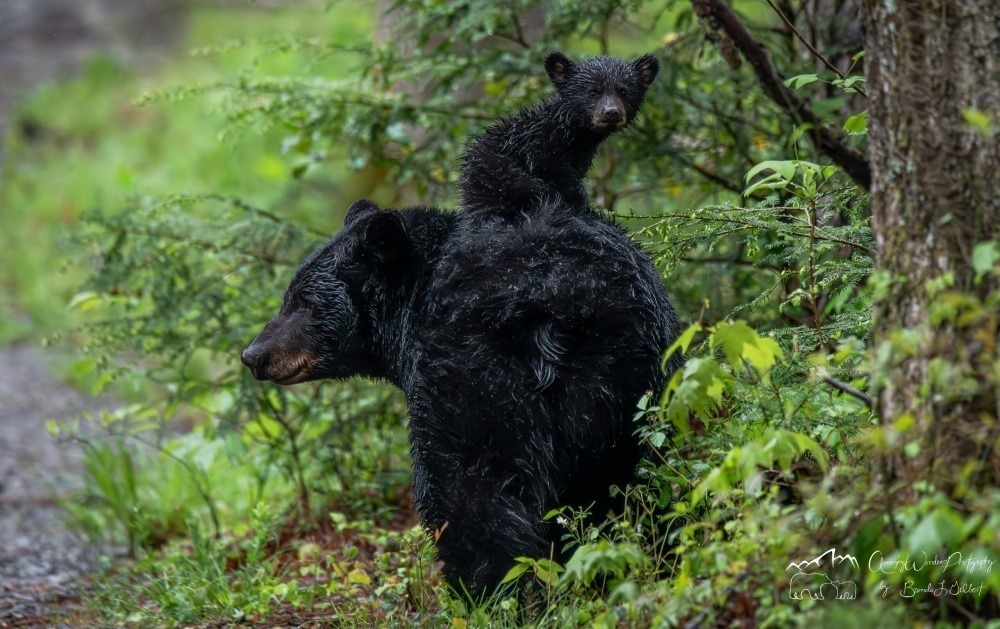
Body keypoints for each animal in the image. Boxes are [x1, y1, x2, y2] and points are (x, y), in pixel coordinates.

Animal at [462, 51, 664, 223]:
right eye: (593, 92)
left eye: (623, 91)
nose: (611, 112)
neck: (569, 131)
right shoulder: (541, 149)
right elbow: (559, 179)